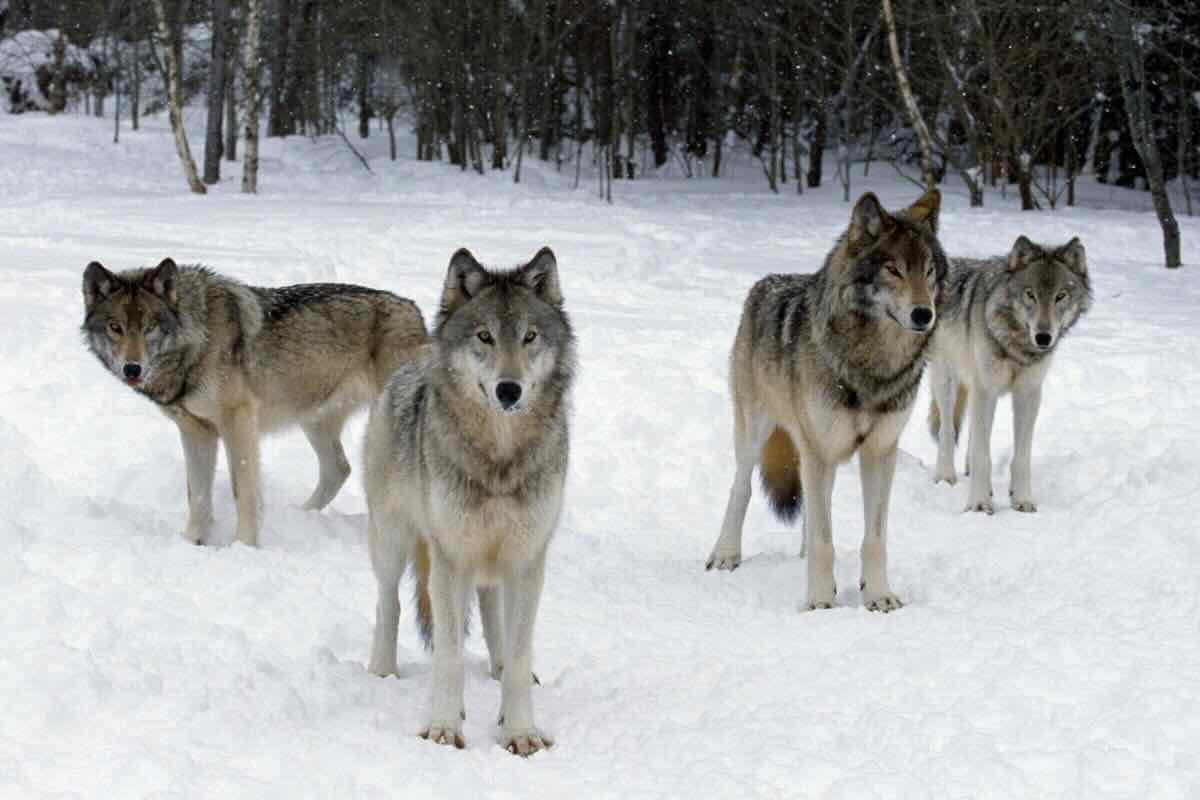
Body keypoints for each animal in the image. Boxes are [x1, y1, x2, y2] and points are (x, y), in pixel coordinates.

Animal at [81, 260, 427, 546]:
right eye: (115, 327)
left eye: (150, 326)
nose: (132, 369)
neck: (197, 340)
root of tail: (415, 311)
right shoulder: (195, 430)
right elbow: (197, 495)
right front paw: (193, 542)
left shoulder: (238, 422)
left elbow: (243, 492)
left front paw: (244, 546)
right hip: (314, 421)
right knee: (339, 469)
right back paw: (302, 515)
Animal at [362, 245, 573, 758]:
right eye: (484, 337)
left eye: (530, 337)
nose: (509, 390)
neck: (499, 457)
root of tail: (412, 360)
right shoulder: (450, 557)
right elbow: (449, 654)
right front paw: (443, 727)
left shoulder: (527, 558)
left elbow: (517, 651)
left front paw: (519, 731)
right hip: (393, 541)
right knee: (389, 603)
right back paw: (383, 670)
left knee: (493, 612)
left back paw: (497, 672)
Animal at [700, 189, 945, 614]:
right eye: (893, 270)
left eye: (929, 271)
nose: (923, 314)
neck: (873, 366)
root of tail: (766, 283)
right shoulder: (820, 450)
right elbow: (823, 541)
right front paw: (818, 601)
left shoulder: (880, 451)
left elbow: (873, 537)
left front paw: (877, 595)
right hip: (757, 433)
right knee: (742, 489)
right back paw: (726, 554)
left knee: (813, 509)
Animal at [926, 236, 1099, 513]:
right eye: (1030, 295)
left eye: (1060, 296)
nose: (1043, 337)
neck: (1017, 346)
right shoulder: (986, 390)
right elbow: (982, 455)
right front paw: (978, 504)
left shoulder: (1028, 394)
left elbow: (1021, 456)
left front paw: (1022, 499)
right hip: (947, 380)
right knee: (947, 431)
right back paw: (945, 476)